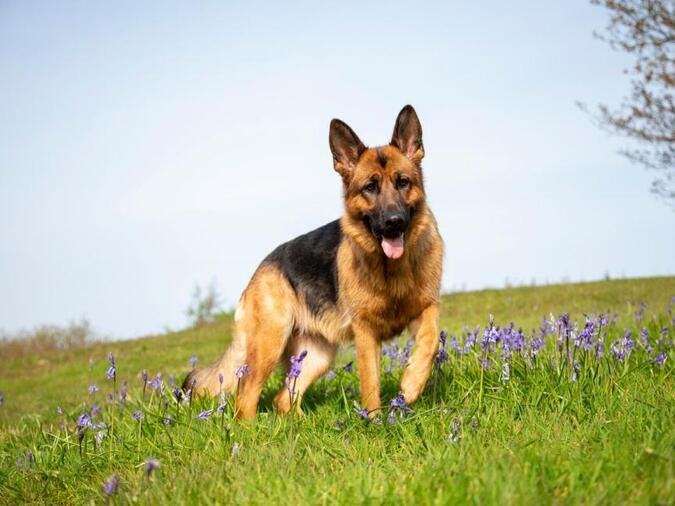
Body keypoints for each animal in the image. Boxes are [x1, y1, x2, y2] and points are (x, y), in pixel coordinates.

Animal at [182, 104, 444, 420]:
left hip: (316, 356)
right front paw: (374, 420)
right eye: (370, 188)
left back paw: (297, 426)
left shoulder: (427, 308)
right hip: (269, 345)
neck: (391, 268)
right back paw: (252, 429)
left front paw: (412, 384)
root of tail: (260, 268)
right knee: (245, 399)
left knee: (283, 399)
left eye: (403, 182)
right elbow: (370, 382)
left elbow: (430, 342)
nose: (394, 222)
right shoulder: (365, 333)